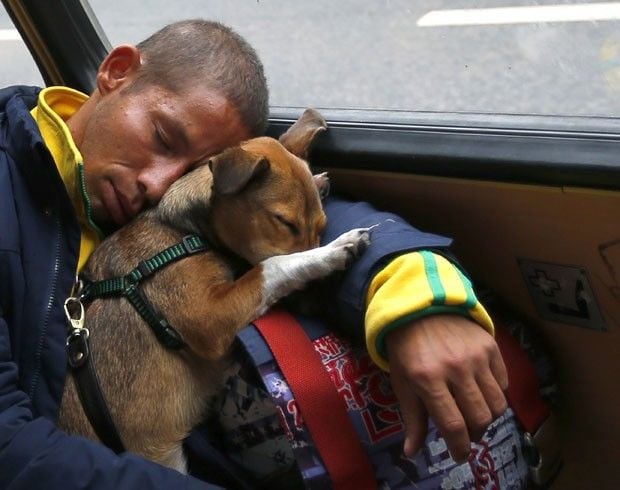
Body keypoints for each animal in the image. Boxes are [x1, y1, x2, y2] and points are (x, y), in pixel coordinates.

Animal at [58, 110, 368, 470]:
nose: (318, 300)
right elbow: (272, 265)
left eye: (321, 225)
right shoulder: (208, 318)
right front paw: (335, 249)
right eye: (285, 222)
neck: (185, 229)